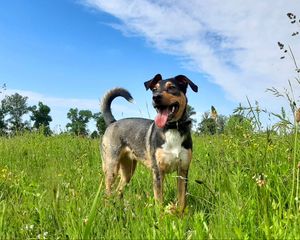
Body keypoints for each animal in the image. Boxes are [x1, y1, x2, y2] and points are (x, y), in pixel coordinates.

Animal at [101, 73, 198, 212]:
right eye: (154, 89)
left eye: (172, 87)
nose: (155, 97)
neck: (172, 128)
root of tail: (112, 122)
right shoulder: (158, 172)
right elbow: (159, 202)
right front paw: (161, 216)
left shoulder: (183, 172)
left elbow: (182, 202)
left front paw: (181, 215)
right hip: (111, 167)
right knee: (108, 192)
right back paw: (108, 209)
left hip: (128, 171)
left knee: (119, 190)